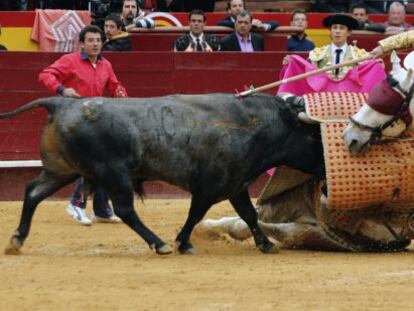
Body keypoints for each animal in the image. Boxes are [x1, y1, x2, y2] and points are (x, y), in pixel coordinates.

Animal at [0, 93, 326, 256]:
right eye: (314, 135)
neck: (258, 123)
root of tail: (63, 103)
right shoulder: (210, 186)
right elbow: (196, 214)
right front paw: (183, 242)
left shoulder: (236, 185)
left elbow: (249, 214)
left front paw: (266, 244)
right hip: (113, 172)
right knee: (125, 209)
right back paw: (160, 244)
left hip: (62, 169)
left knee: (33, 192)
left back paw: (17, 240)